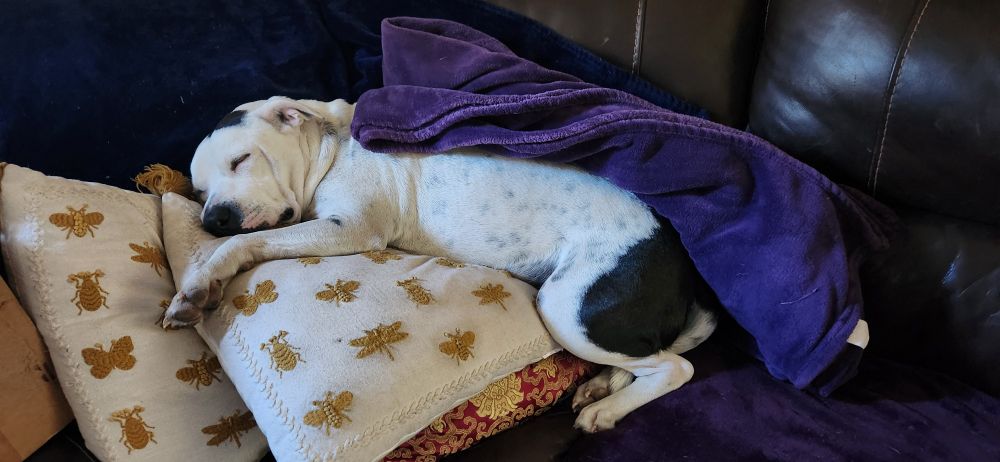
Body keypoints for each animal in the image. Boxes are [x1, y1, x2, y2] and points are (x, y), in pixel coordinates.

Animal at [163, 96, 716, 432]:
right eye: (198, 192)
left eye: (241, 160)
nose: (215, 218)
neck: (332, 149)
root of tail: (682, 272)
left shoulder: (349, 229)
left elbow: (247, 245)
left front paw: (199, 285)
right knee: (644, 359)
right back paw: (604, 386)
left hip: (567, 308)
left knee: (676, 367)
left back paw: (606, 408)